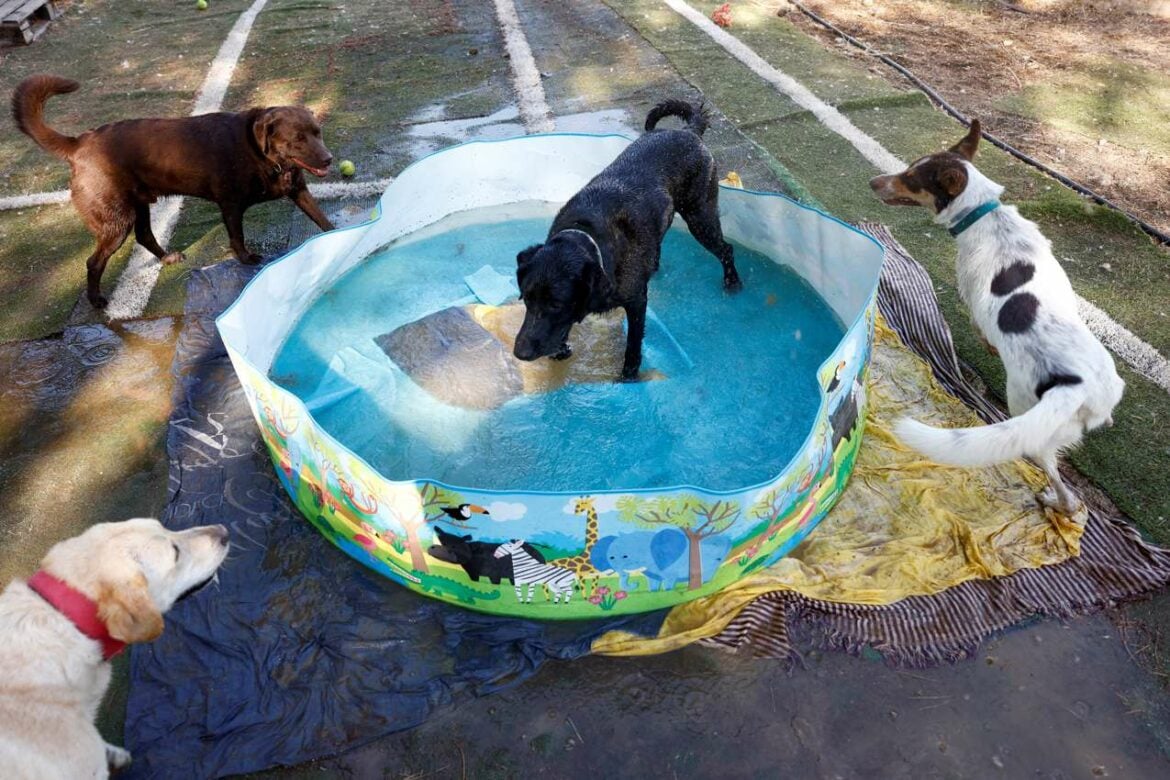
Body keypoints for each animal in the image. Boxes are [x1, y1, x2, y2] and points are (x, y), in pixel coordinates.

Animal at [12, 74, 339, 308]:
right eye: (297, 139)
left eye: (318, 133)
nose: (328, 159)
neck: (262, 155)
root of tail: (78, 142)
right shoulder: (230, 204)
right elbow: (237, 237)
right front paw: (247, 260)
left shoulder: (299, 190)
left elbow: (322, 219)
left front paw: (338, 236)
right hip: (116, 220)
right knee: (94, 262)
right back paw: (96, 301)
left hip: (138, 206)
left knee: (144, 235)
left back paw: (167, 258)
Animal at [512, 100, 739, 381]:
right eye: (526, 298)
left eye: (556, 304)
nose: (520, 353)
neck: (589, 237)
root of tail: (689, 131)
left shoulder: (636, 302)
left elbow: (632, 345)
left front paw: (628, 377)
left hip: (700, 217)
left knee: (726, 249)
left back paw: (733, 283)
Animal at [594, 530, 730, 591]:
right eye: (611, 557)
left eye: (625, 556)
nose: (635, 584)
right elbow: (653, 582)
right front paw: (653, 592)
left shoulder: (669, 568)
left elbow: (669, 582)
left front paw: (668, 591)